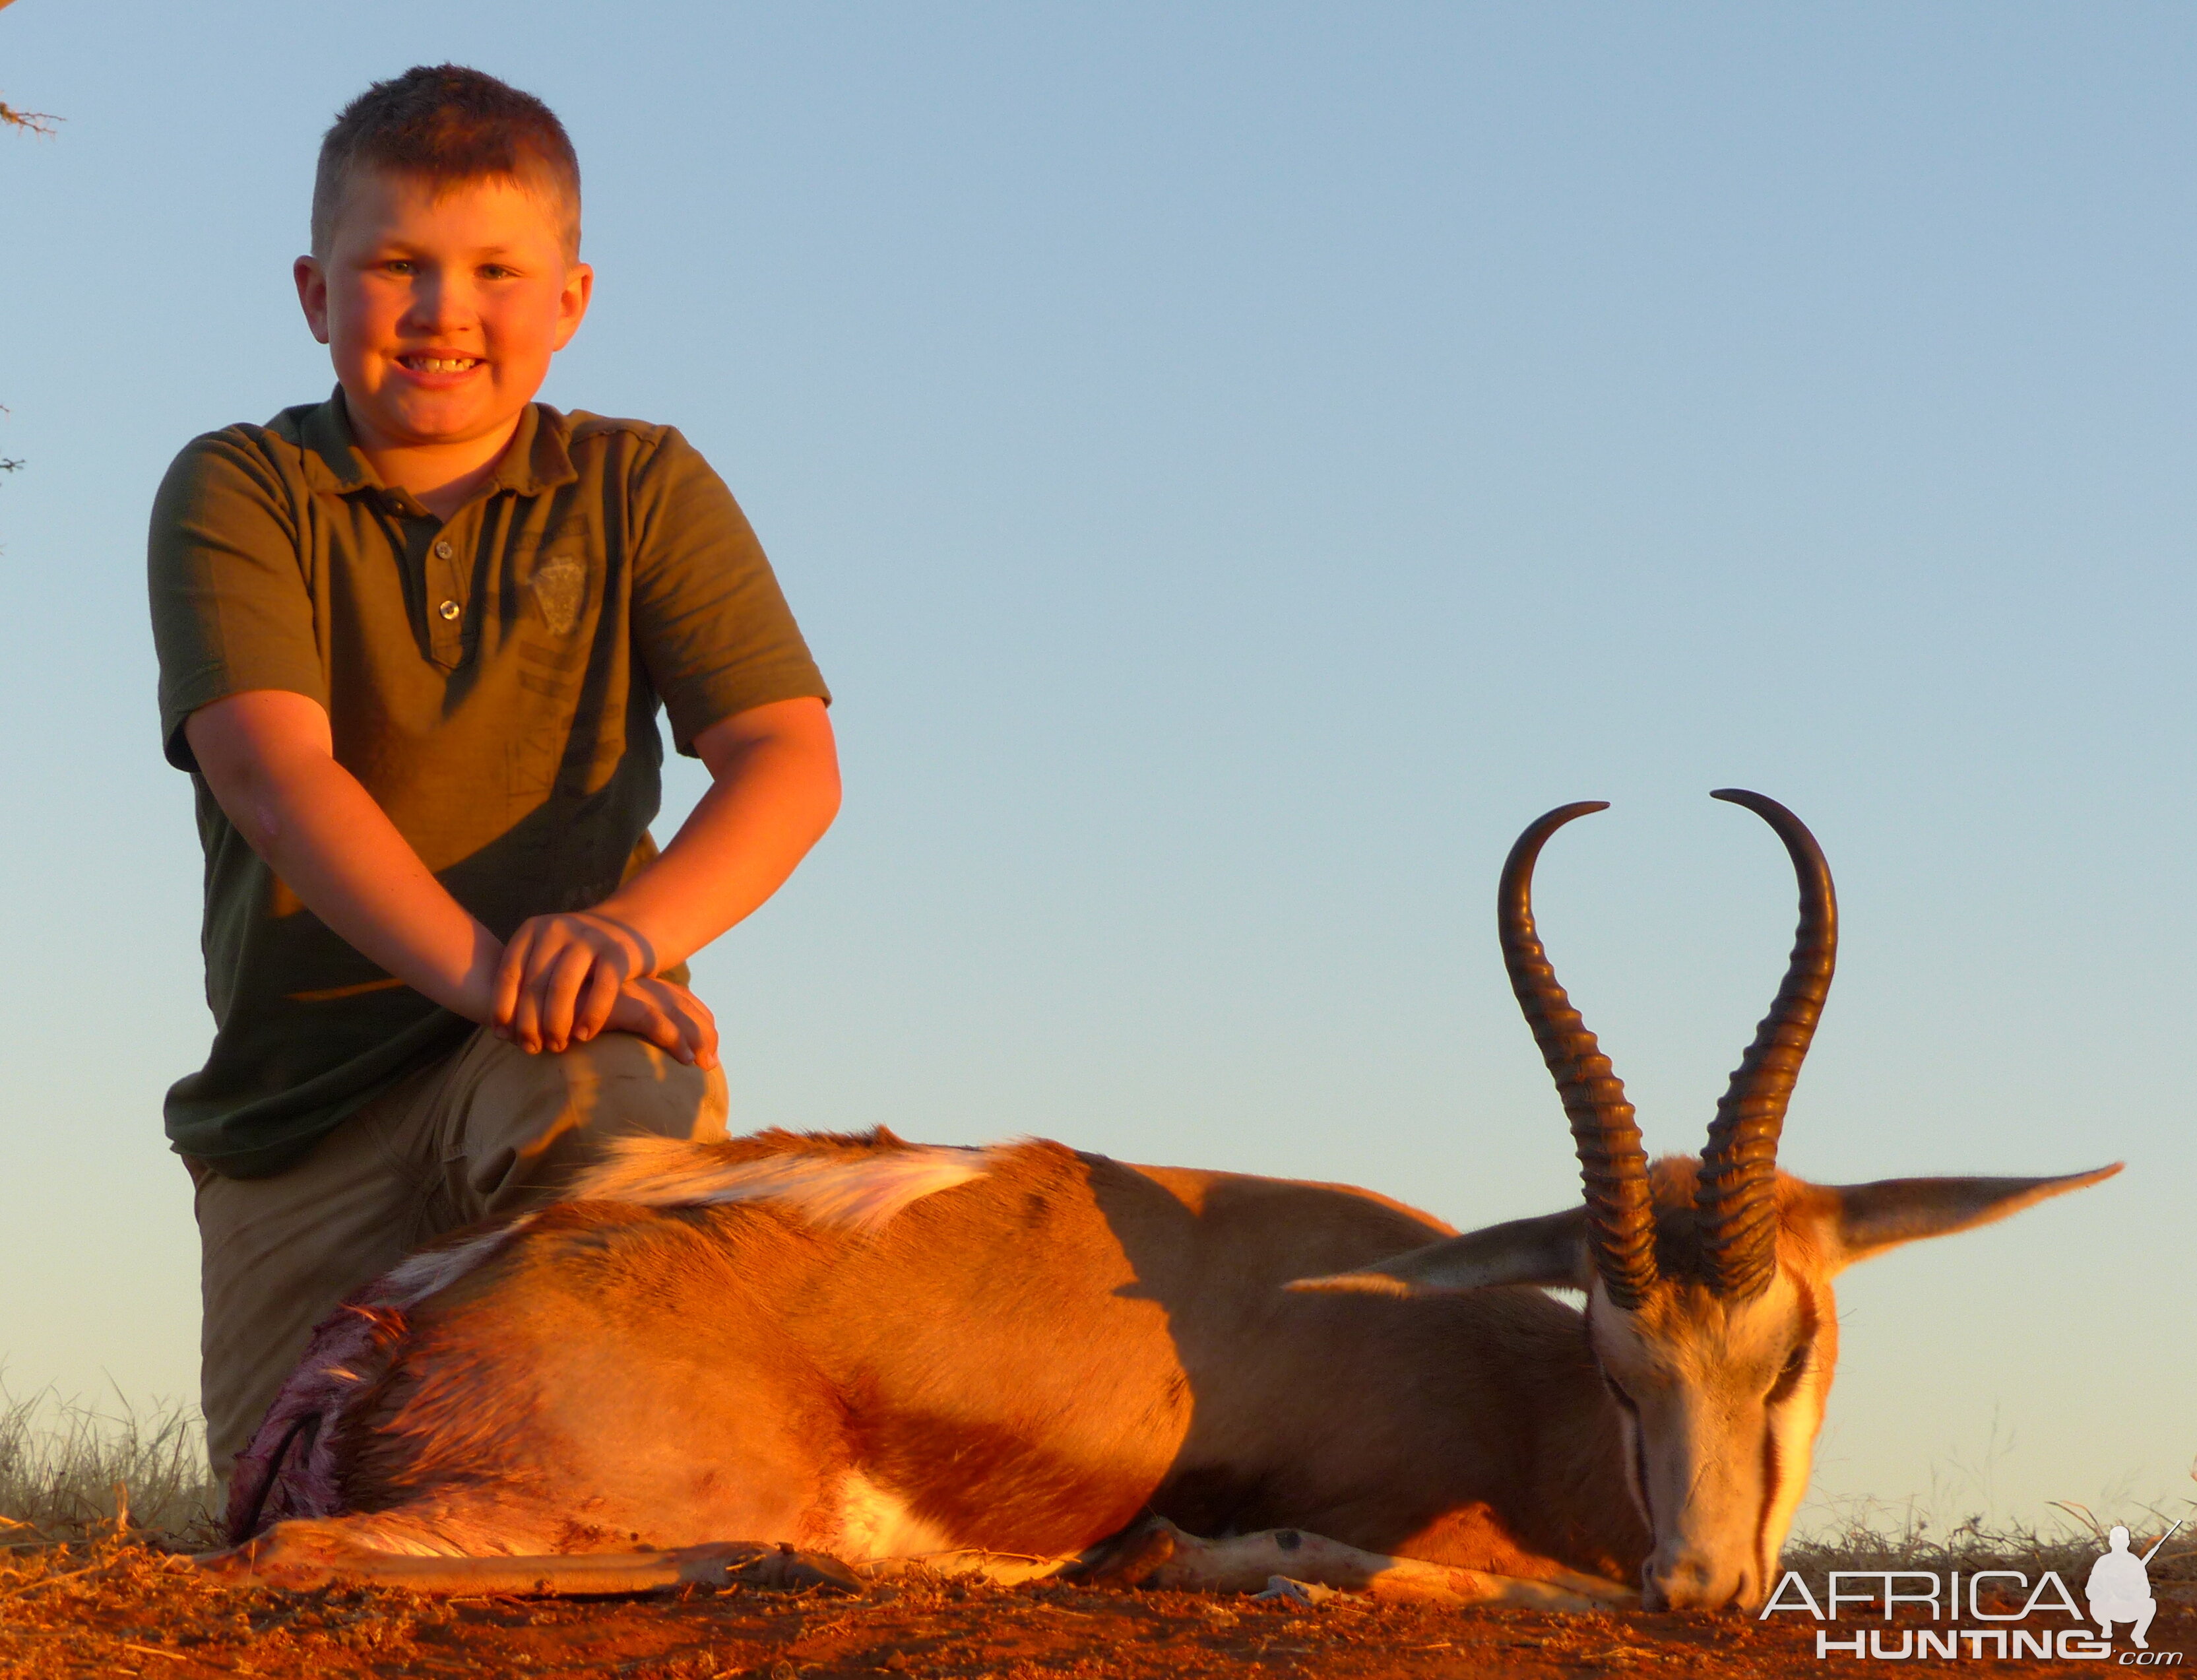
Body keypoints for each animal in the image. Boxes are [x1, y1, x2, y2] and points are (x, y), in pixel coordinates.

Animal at [218, 794, 2109, 1607]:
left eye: (1788, 1349)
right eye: (1615, 1355)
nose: (1704, 1582)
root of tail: (410, 1308)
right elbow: (1486, 1578)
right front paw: (1216, 1556)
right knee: (321, 1555)